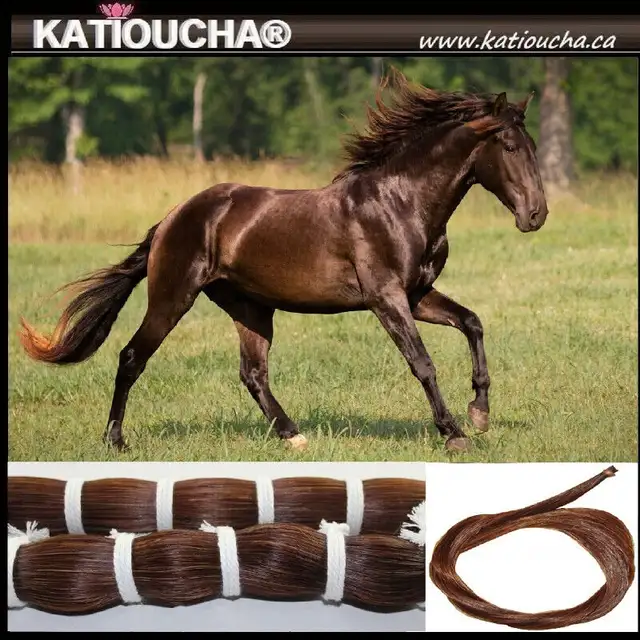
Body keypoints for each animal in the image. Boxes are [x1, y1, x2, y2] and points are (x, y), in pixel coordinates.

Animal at [19, 70, 548, 453]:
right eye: (508, 147)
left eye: (533, 148)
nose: (536, 215)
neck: (400, 204)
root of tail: (173, 218)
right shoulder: (387, 298)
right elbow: (422, 362)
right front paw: (454, 433)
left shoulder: (417, 295)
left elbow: (472, 323)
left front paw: (480, 413)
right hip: (173, 297)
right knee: (132, 357)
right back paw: (115, 440)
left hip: (250, 307)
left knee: (252, 373)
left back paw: (293, 435)